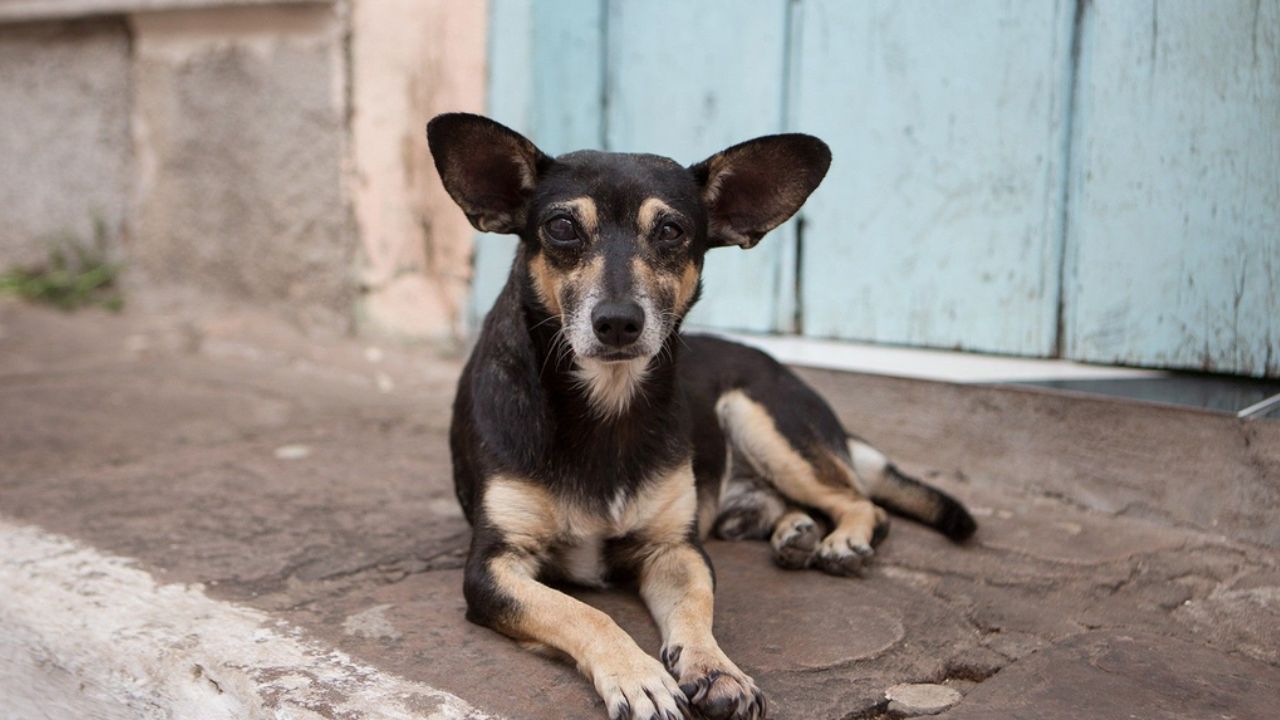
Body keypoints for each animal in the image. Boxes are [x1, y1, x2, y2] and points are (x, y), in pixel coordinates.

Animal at [424, 113, 972, 717]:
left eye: (671, 231)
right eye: (563, 226)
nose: (618, 321)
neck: (607, 406)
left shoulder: (676, 550)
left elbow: (696, 607)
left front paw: (716, 669)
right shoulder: (493, 566)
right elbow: (585, 612)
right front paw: (638, 676)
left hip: (762, 420)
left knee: (862, 502)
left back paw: (841, 539)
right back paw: (795, 533)